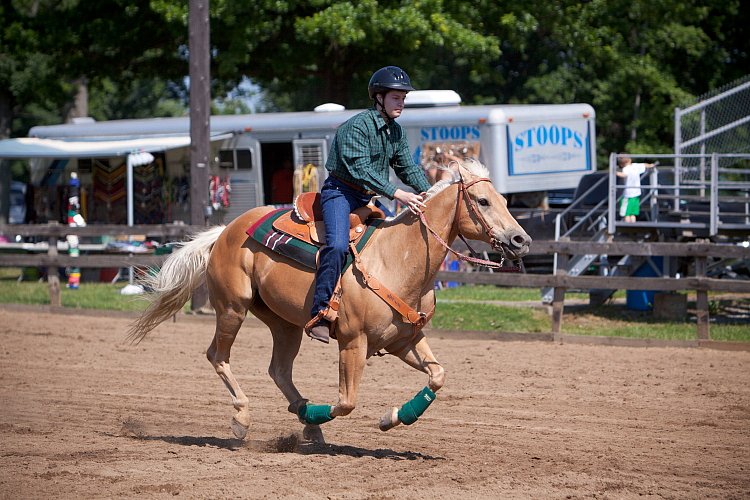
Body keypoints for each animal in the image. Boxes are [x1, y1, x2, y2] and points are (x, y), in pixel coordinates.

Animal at [129, 161, 532, 442]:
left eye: (504, 200)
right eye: (482, 201)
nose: (521, 240)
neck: (397, 258)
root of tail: (225, 231)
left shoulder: (404, 340)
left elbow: (438, 376)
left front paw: (394, 417)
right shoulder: (353, 342)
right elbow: (346, 401)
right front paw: (324, 418)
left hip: (284, 323)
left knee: (278, 369)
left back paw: (304, 416)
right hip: (232, 308)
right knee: (218, 356)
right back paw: (244, 418)